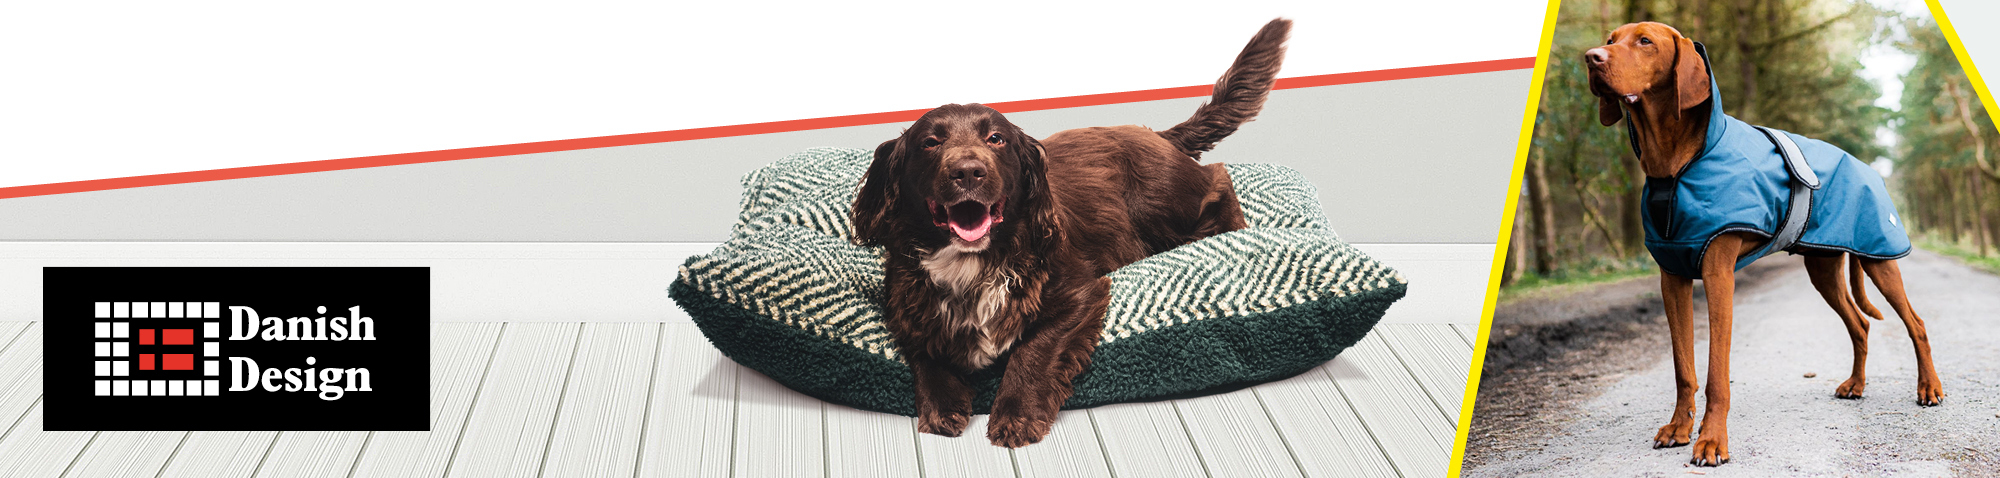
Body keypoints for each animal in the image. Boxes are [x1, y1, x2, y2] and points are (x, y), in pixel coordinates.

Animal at [848, 17, 1288, 444]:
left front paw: (1016, 413)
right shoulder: (904, 306)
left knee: (1219, 178)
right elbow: (925, 352)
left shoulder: (1079, 294)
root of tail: (1155, 133)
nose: (968, 171)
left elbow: (1034, 349)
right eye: (930, 143)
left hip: (1162, 202)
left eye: (996, 139)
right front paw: (941, 405)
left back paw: (1233, 225)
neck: (973, 262)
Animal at [1576, 22, 1936, 466]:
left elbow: (1716, 373)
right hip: (1823, 270)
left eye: (1645, 41)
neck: (1677, 164)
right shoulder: (1672, 277)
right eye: (1610, 41)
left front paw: (1712, 441)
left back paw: (1929, 388)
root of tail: (1867, 167)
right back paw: (1856, 384)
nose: (1591, 58)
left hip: (1880, 258)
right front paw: (1679, 428)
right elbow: (1683, 368)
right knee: (1861, 324)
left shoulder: (1718, 273)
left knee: (1916, 323)